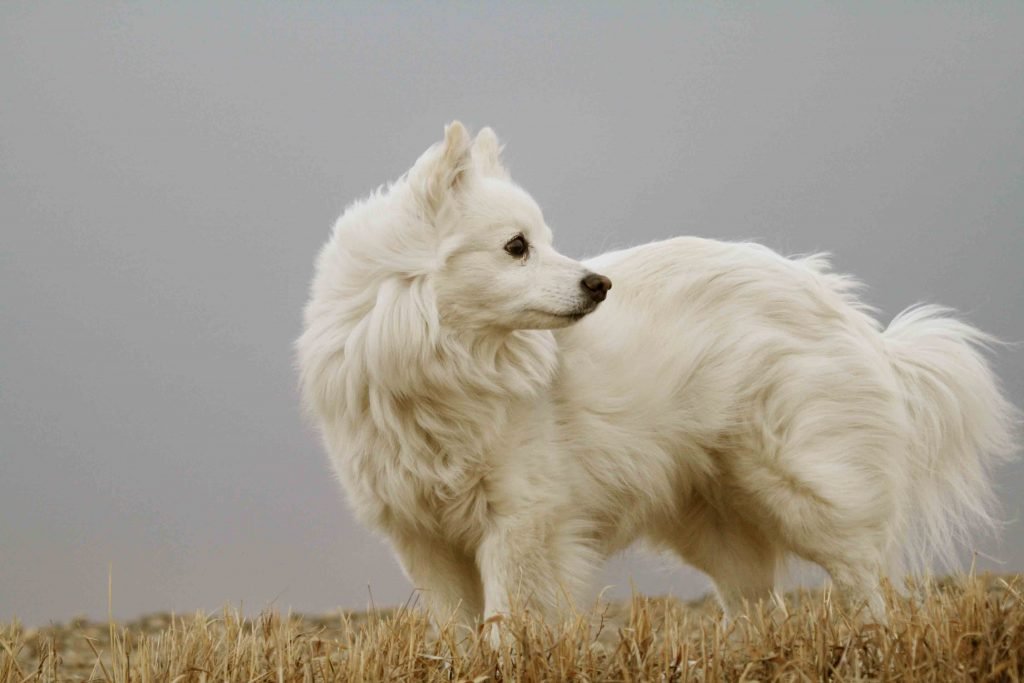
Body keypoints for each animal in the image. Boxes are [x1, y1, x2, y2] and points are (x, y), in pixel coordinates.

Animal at [296, 121, 1015, 630]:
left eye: (543, 239)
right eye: (516, 247)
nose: (599, 284)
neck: (441, 366)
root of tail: (854, 318)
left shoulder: (518, 525)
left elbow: (507, 621)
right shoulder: (422, 539)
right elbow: (456, 630)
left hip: (805, 490)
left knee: (866, 578)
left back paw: (872, 643)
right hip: (717, 528)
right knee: (760, 607)